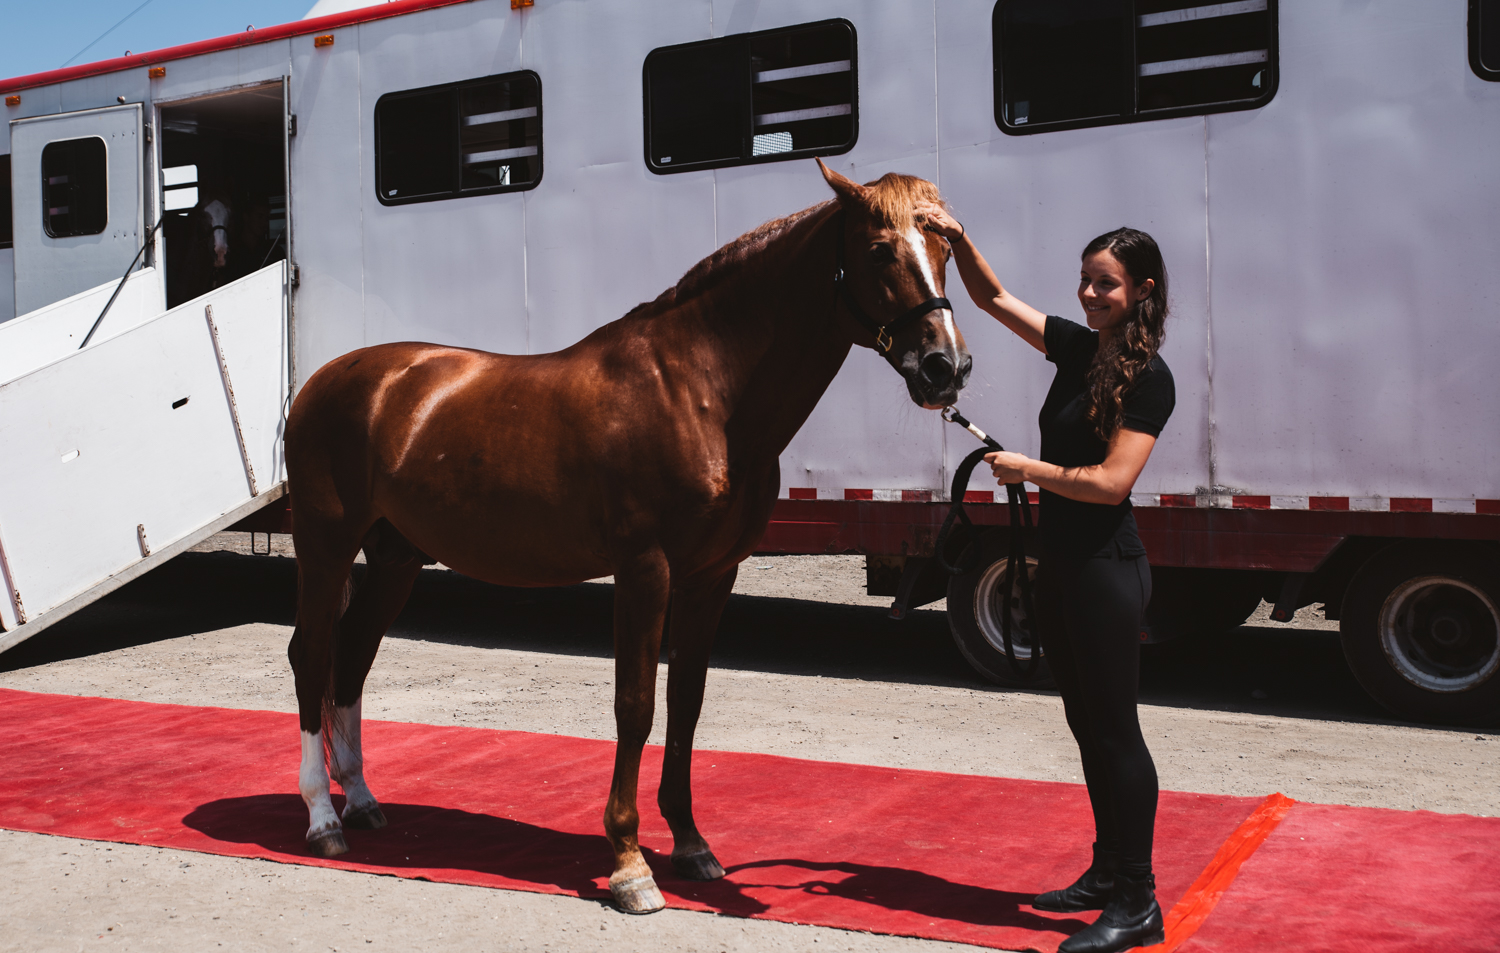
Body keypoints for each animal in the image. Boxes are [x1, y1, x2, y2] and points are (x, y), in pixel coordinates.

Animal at [283, 160, 972, 912]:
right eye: (878, 251)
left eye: (945, 248)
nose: (946, 367)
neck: (701, 390)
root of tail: (325, 382)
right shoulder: (646, 568)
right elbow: (635, 705)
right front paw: (629, 862)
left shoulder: (712, 575)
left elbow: (686, 703)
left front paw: (692, 844)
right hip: (324, 550)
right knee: (311, 656)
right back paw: (322, 818)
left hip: (396, 558)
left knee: (352, 658)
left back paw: (363, 801)